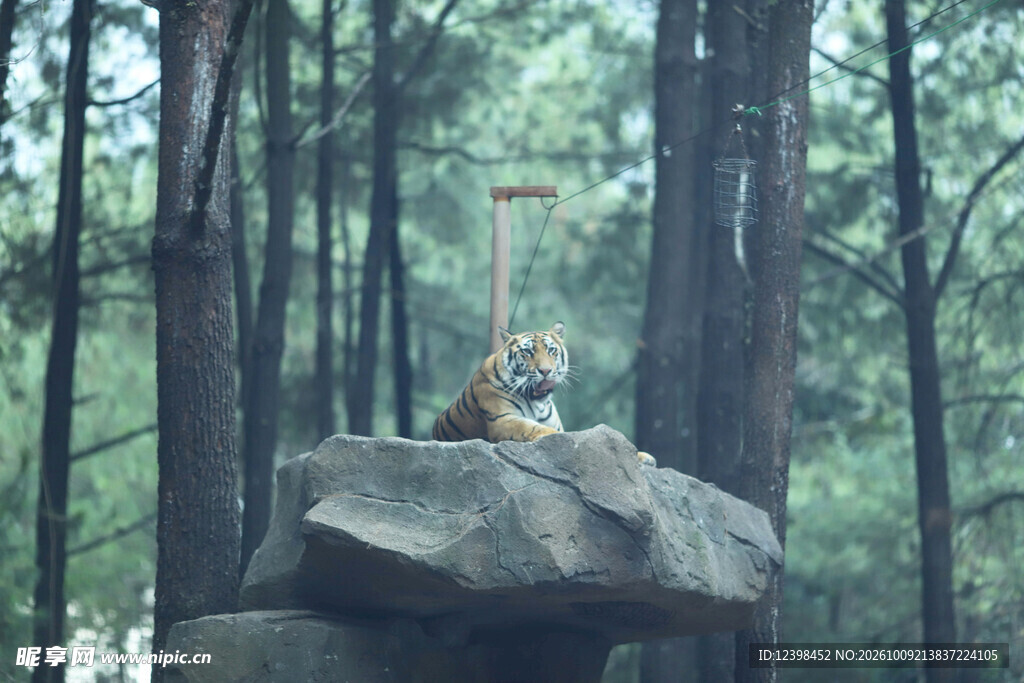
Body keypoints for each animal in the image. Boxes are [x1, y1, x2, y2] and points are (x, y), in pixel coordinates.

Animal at [432, 321, 656, 466]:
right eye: (527, 352)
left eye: (551, 350)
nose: (546, 371)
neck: (537, 403)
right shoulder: (503, 420)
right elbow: (534, 428)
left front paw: (643, 456)